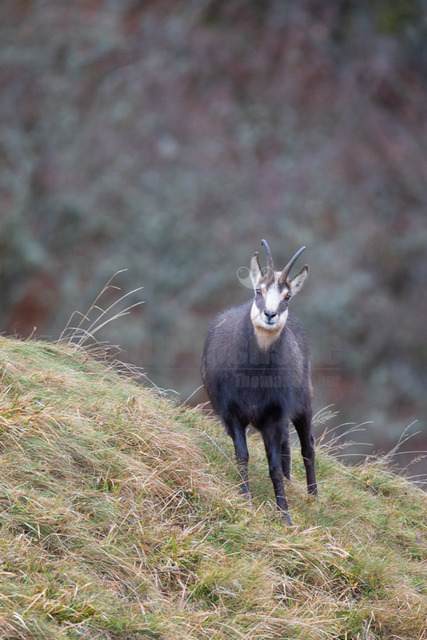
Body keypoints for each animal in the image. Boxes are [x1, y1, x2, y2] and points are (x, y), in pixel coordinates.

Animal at [202, 239, 317, 525]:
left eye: (287, 296)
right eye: (258, 290)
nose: (270, 314)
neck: (253, 376)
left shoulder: (273, 417)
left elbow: (273, 467)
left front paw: (285, 516)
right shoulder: (231, 414)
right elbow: (242, 456)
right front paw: (246, 498)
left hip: (303, 403)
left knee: (308, 447)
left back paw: (314, 499)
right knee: (288, 447)